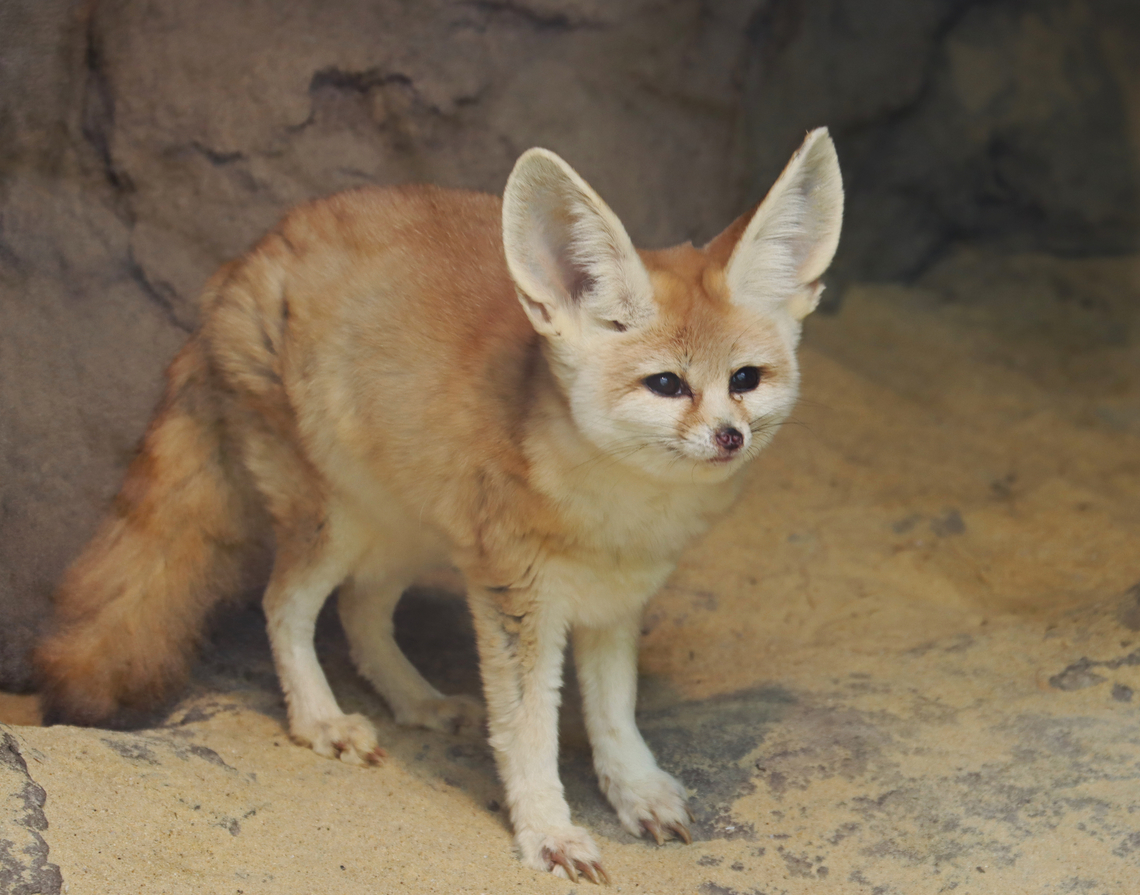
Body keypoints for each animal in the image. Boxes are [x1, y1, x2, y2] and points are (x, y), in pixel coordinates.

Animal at [34, 128, 842, 881]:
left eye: (745, 379)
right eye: (667, 384)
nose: (731, 436)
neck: (619, 516)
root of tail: (240, 264)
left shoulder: (615, 602)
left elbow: (614, 713)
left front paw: (635, 790)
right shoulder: (514, 598)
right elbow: (527, 731)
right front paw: (548, 831)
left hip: (414, 528)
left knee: (360, 609)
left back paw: (416, 701)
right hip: (334, 523)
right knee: (284, 606)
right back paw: (320, 719)